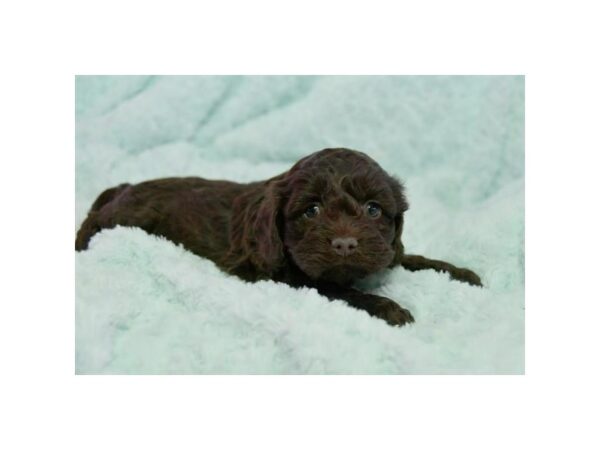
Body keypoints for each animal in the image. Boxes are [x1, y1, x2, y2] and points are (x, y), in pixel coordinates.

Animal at [75, 148, 480, 326]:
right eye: (311, 211)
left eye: (373, 210)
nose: (345, 244)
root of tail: (126, 186)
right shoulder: (286, 275)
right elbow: (340, 290)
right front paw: (389, 308)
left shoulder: (386, 249)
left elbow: (409, 257)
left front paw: (462, 273)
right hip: (123, 217)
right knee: (94, 218)